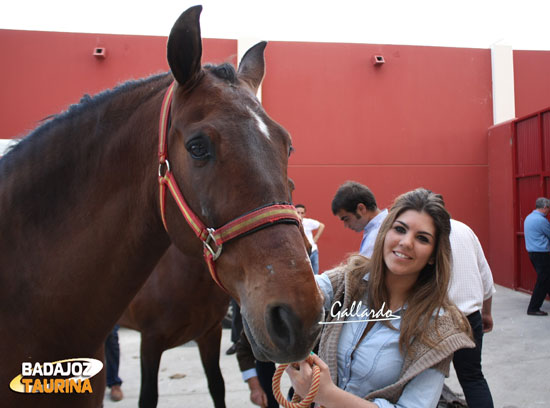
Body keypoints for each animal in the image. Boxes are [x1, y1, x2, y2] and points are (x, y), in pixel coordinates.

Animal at [0, 6, 326, 408]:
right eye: (198, 147)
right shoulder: (151, 342)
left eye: (287, 145)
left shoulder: (208, 334)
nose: (299, 316)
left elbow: (217, 387)